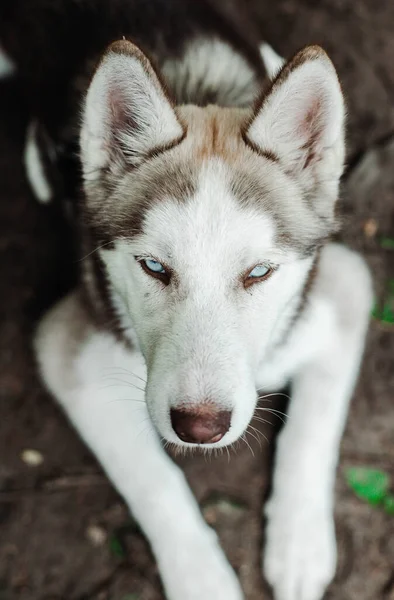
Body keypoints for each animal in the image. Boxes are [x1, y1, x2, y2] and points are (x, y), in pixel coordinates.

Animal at [0, 1, 372, 600]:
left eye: (259, 272)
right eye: (153, 266)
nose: (200, 427)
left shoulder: (341, 287)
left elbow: (315, 430)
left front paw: (299, 545)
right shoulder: (70, 349)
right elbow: (154, 480)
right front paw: (202, 578)